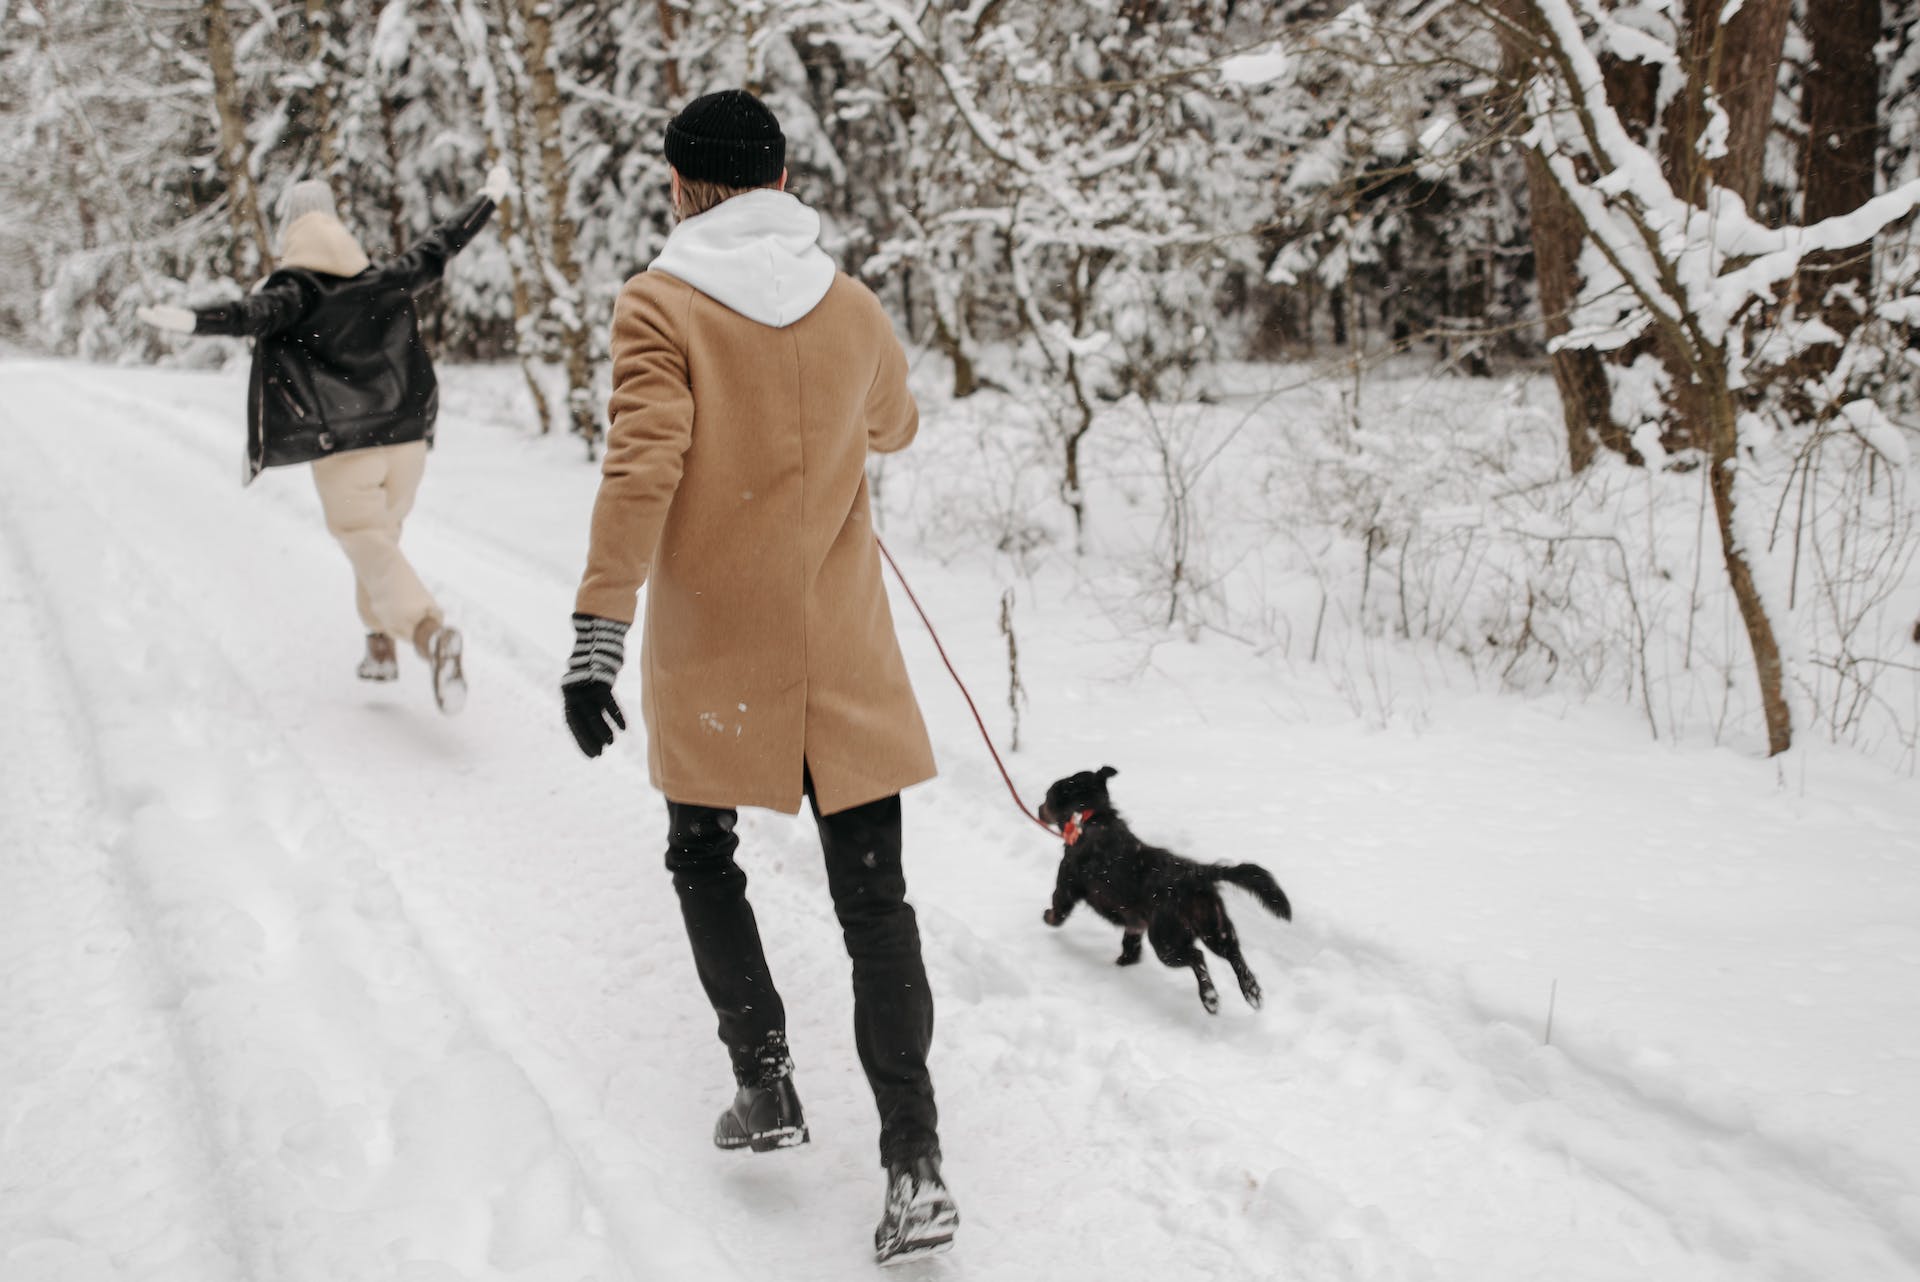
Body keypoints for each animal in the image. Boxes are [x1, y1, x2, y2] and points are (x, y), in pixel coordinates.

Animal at [1036, 767, 1290, 1013]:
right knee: (1233, 952)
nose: (1038, 810)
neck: (1093, 818)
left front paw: (1046, 916)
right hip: (1215, 926)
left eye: (1048, 796)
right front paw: (1125, 962)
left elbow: (1057, 912)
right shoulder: (1134, 922)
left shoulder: (1066, 887)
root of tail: (1196, 874)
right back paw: (1252, 991)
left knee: (1197, 956)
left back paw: (1209, 998)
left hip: (1167, 940)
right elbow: (1130, 945)